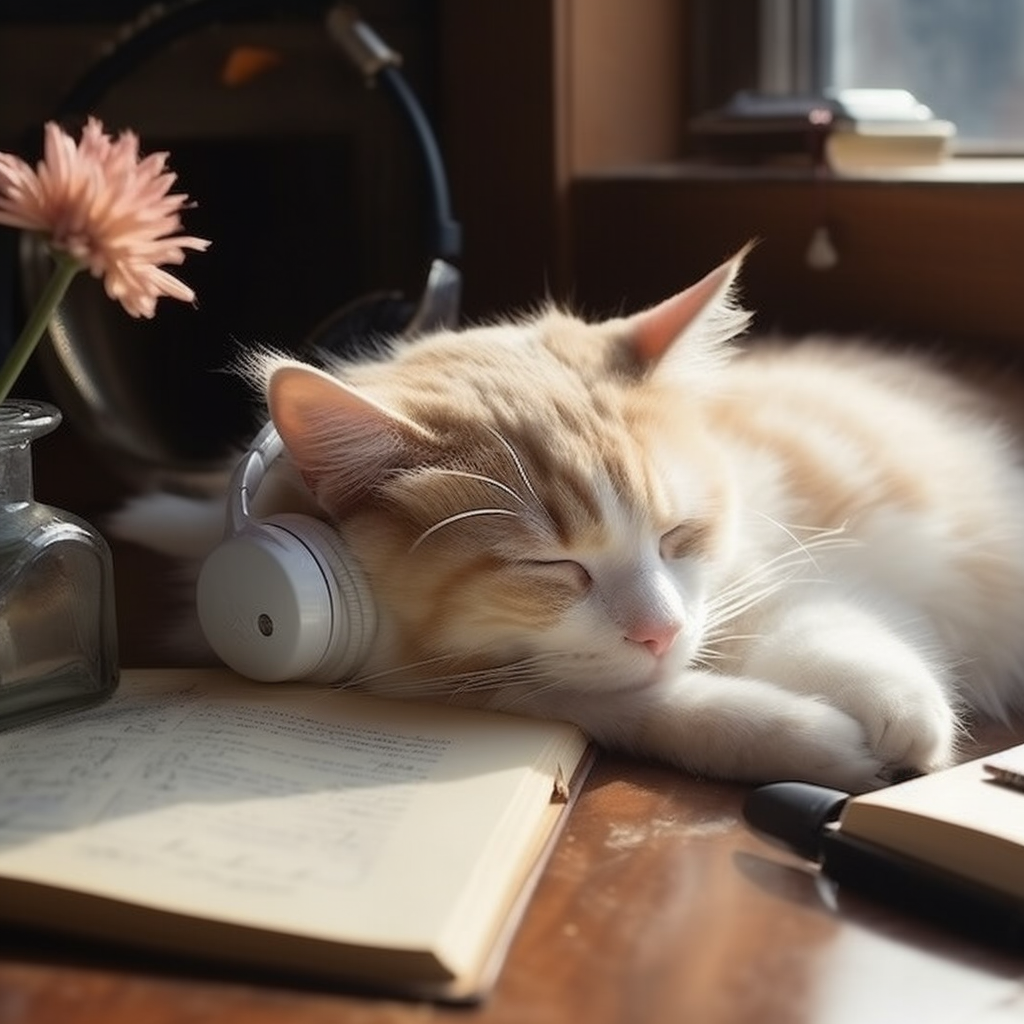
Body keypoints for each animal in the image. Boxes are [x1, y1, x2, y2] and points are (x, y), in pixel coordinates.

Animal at [110, 247, 1024, 790]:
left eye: (679, 536)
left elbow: (828, 626)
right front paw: (804, 737)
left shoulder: (787, 558)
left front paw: (904, 714)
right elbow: (645, 705)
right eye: (554, 569)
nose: (660, 631)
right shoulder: (485, 684)